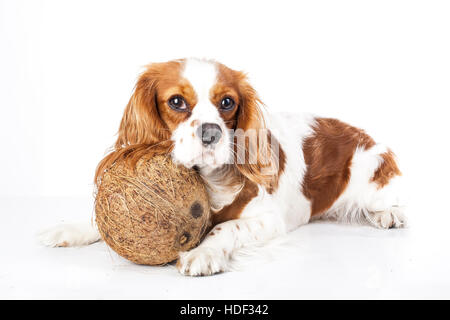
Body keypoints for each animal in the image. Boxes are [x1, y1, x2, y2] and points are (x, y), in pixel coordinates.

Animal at [38, 58, 406, 276]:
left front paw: (203, 254)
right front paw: (69, 229)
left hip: (373, 174)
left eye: (227, 102)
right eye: (176, 101)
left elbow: (224, 228)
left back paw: (388, 214)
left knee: (387, 201)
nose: (211, 132)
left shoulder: (270, 219)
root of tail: (364, 133)